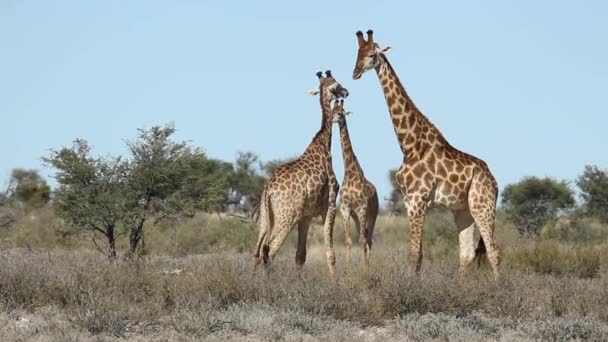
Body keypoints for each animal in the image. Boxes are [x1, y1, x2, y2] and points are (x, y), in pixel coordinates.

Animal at [252, 71, 346, 276]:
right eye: (336, 85)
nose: (346, 91)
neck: (323, 144)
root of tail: (268, 189)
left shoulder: (306, 215)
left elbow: (300, 256)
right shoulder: (330, 205)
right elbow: (330, 252)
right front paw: (335, 280)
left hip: (267, 216)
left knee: (257, 251)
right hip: (287, 216)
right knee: (270, 250)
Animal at [330, 100, 378, 268]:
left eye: (340, 113)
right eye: (332, 110)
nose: (330, 120)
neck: (350, 172)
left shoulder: (362, 208)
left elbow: (362, 240)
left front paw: (363, 269)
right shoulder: (345, 209)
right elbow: (349, 241)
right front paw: (347, 268)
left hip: (372, 214)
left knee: (368, 239)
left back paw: (368, 266)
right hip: (357, 217)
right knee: (365, 238)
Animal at [352, 30, 498, 278]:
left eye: (371, 54)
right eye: (357, 54)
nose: (355, 73)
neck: (409, 144)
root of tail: (495, 182)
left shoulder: (417, 200)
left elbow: (413, 255)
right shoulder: (410, 201)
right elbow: (419, 256)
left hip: (482, 204)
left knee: (493, 251)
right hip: (463, 210)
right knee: (467, 254)